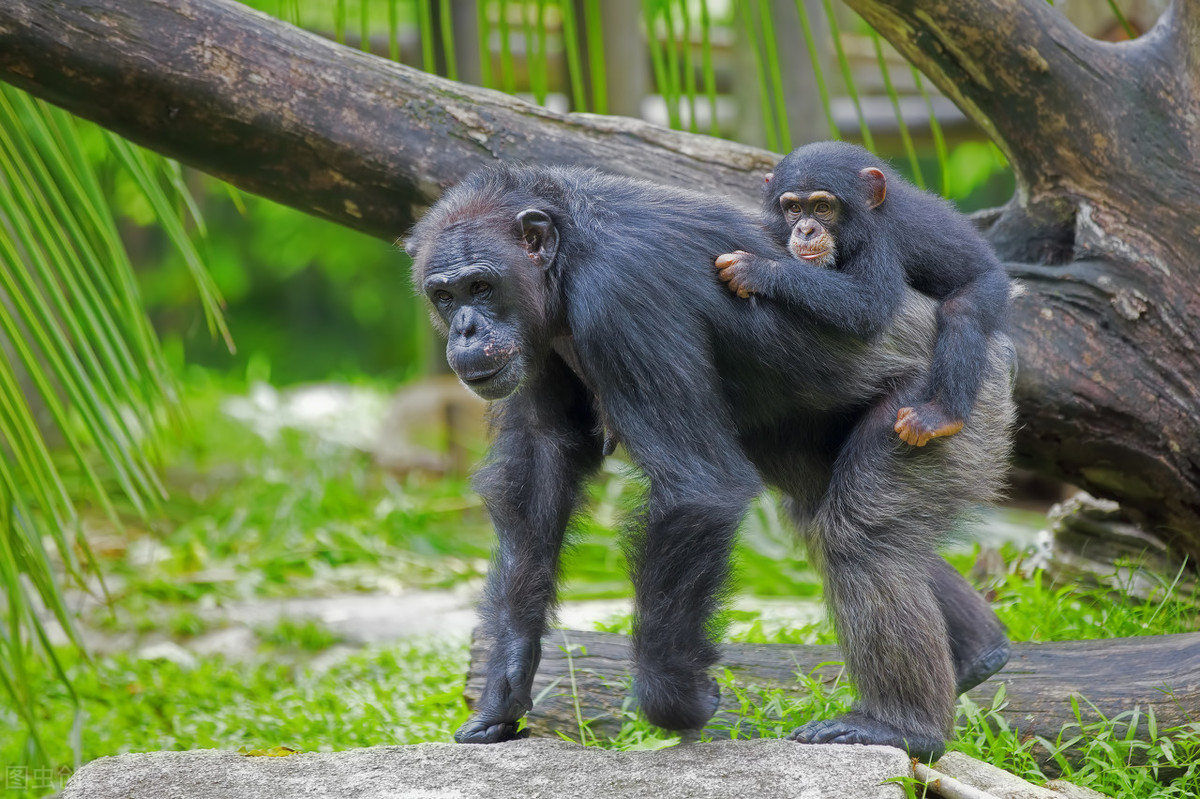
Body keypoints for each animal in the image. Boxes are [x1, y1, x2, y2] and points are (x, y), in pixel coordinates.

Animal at [715, 139, 1008, 443]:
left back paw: (942, 415)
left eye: (822, 207)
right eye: (794, 208)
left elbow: (869, 305)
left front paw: (758, 269)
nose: (805, 230)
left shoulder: (879, 240)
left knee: (960, 311)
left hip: (992, 285)